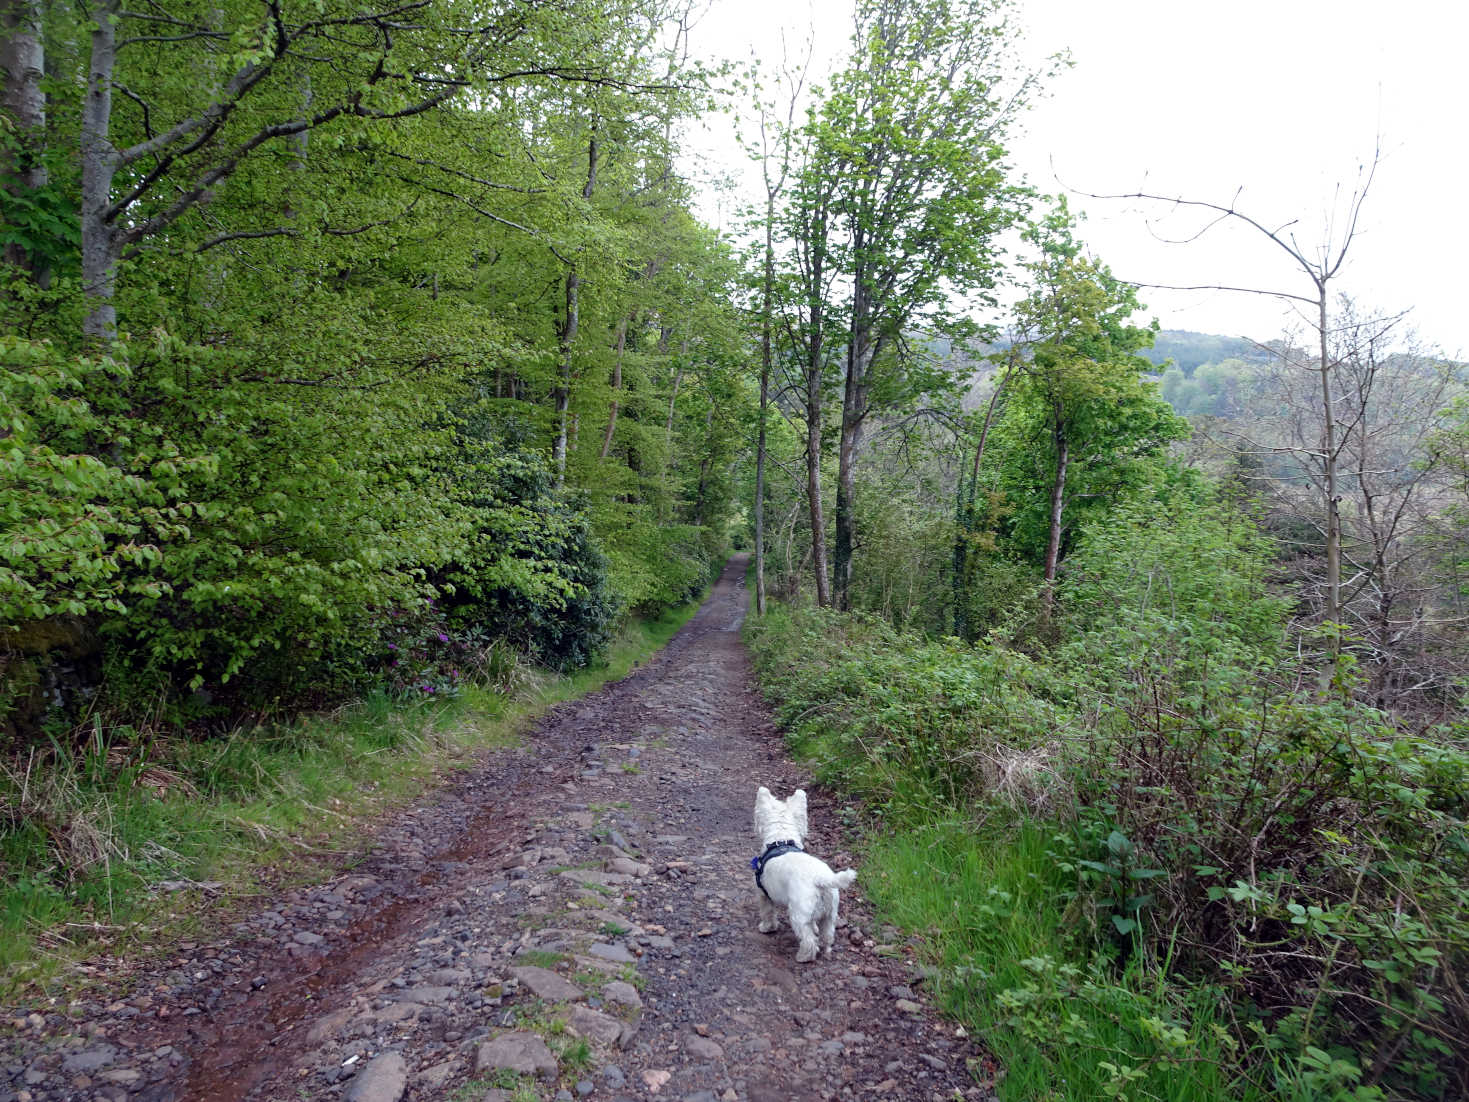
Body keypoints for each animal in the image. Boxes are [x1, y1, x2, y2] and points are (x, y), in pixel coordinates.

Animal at [752, 787, 857, 963]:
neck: (782, 840)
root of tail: (821, 880)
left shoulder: (764, 894)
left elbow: (767, 913)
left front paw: (766, 928)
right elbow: (814, 924)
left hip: (798, 913)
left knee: (808, 940)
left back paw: (803, 956)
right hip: (830, 914)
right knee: (827, 935)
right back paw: (826, 949)